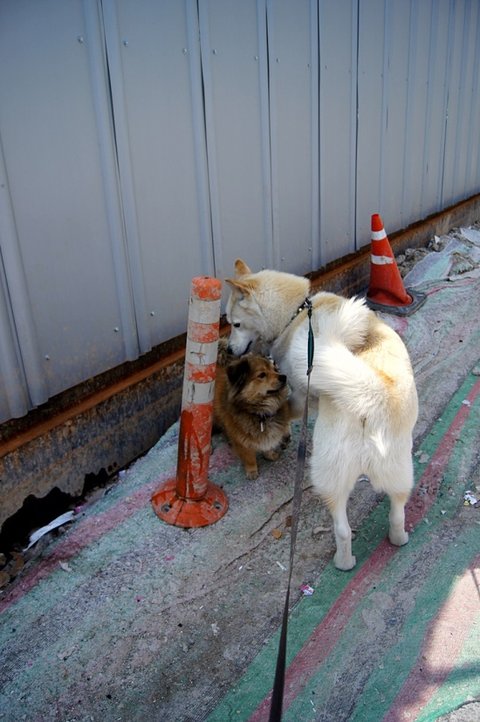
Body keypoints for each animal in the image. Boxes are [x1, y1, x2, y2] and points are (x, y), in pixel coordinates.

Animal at [225, 259, 418, 570]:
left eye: (235, 323)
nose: (229, 350)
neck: (297, 314)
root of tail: (373, 394)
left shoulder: (301, 393)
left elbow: (287, 410)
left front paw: (282, 432)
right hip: (400, 471)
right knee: (397, 511)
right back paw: (398, 538)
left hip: (329, 477)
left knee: (342, 528)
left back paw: (343, 562)